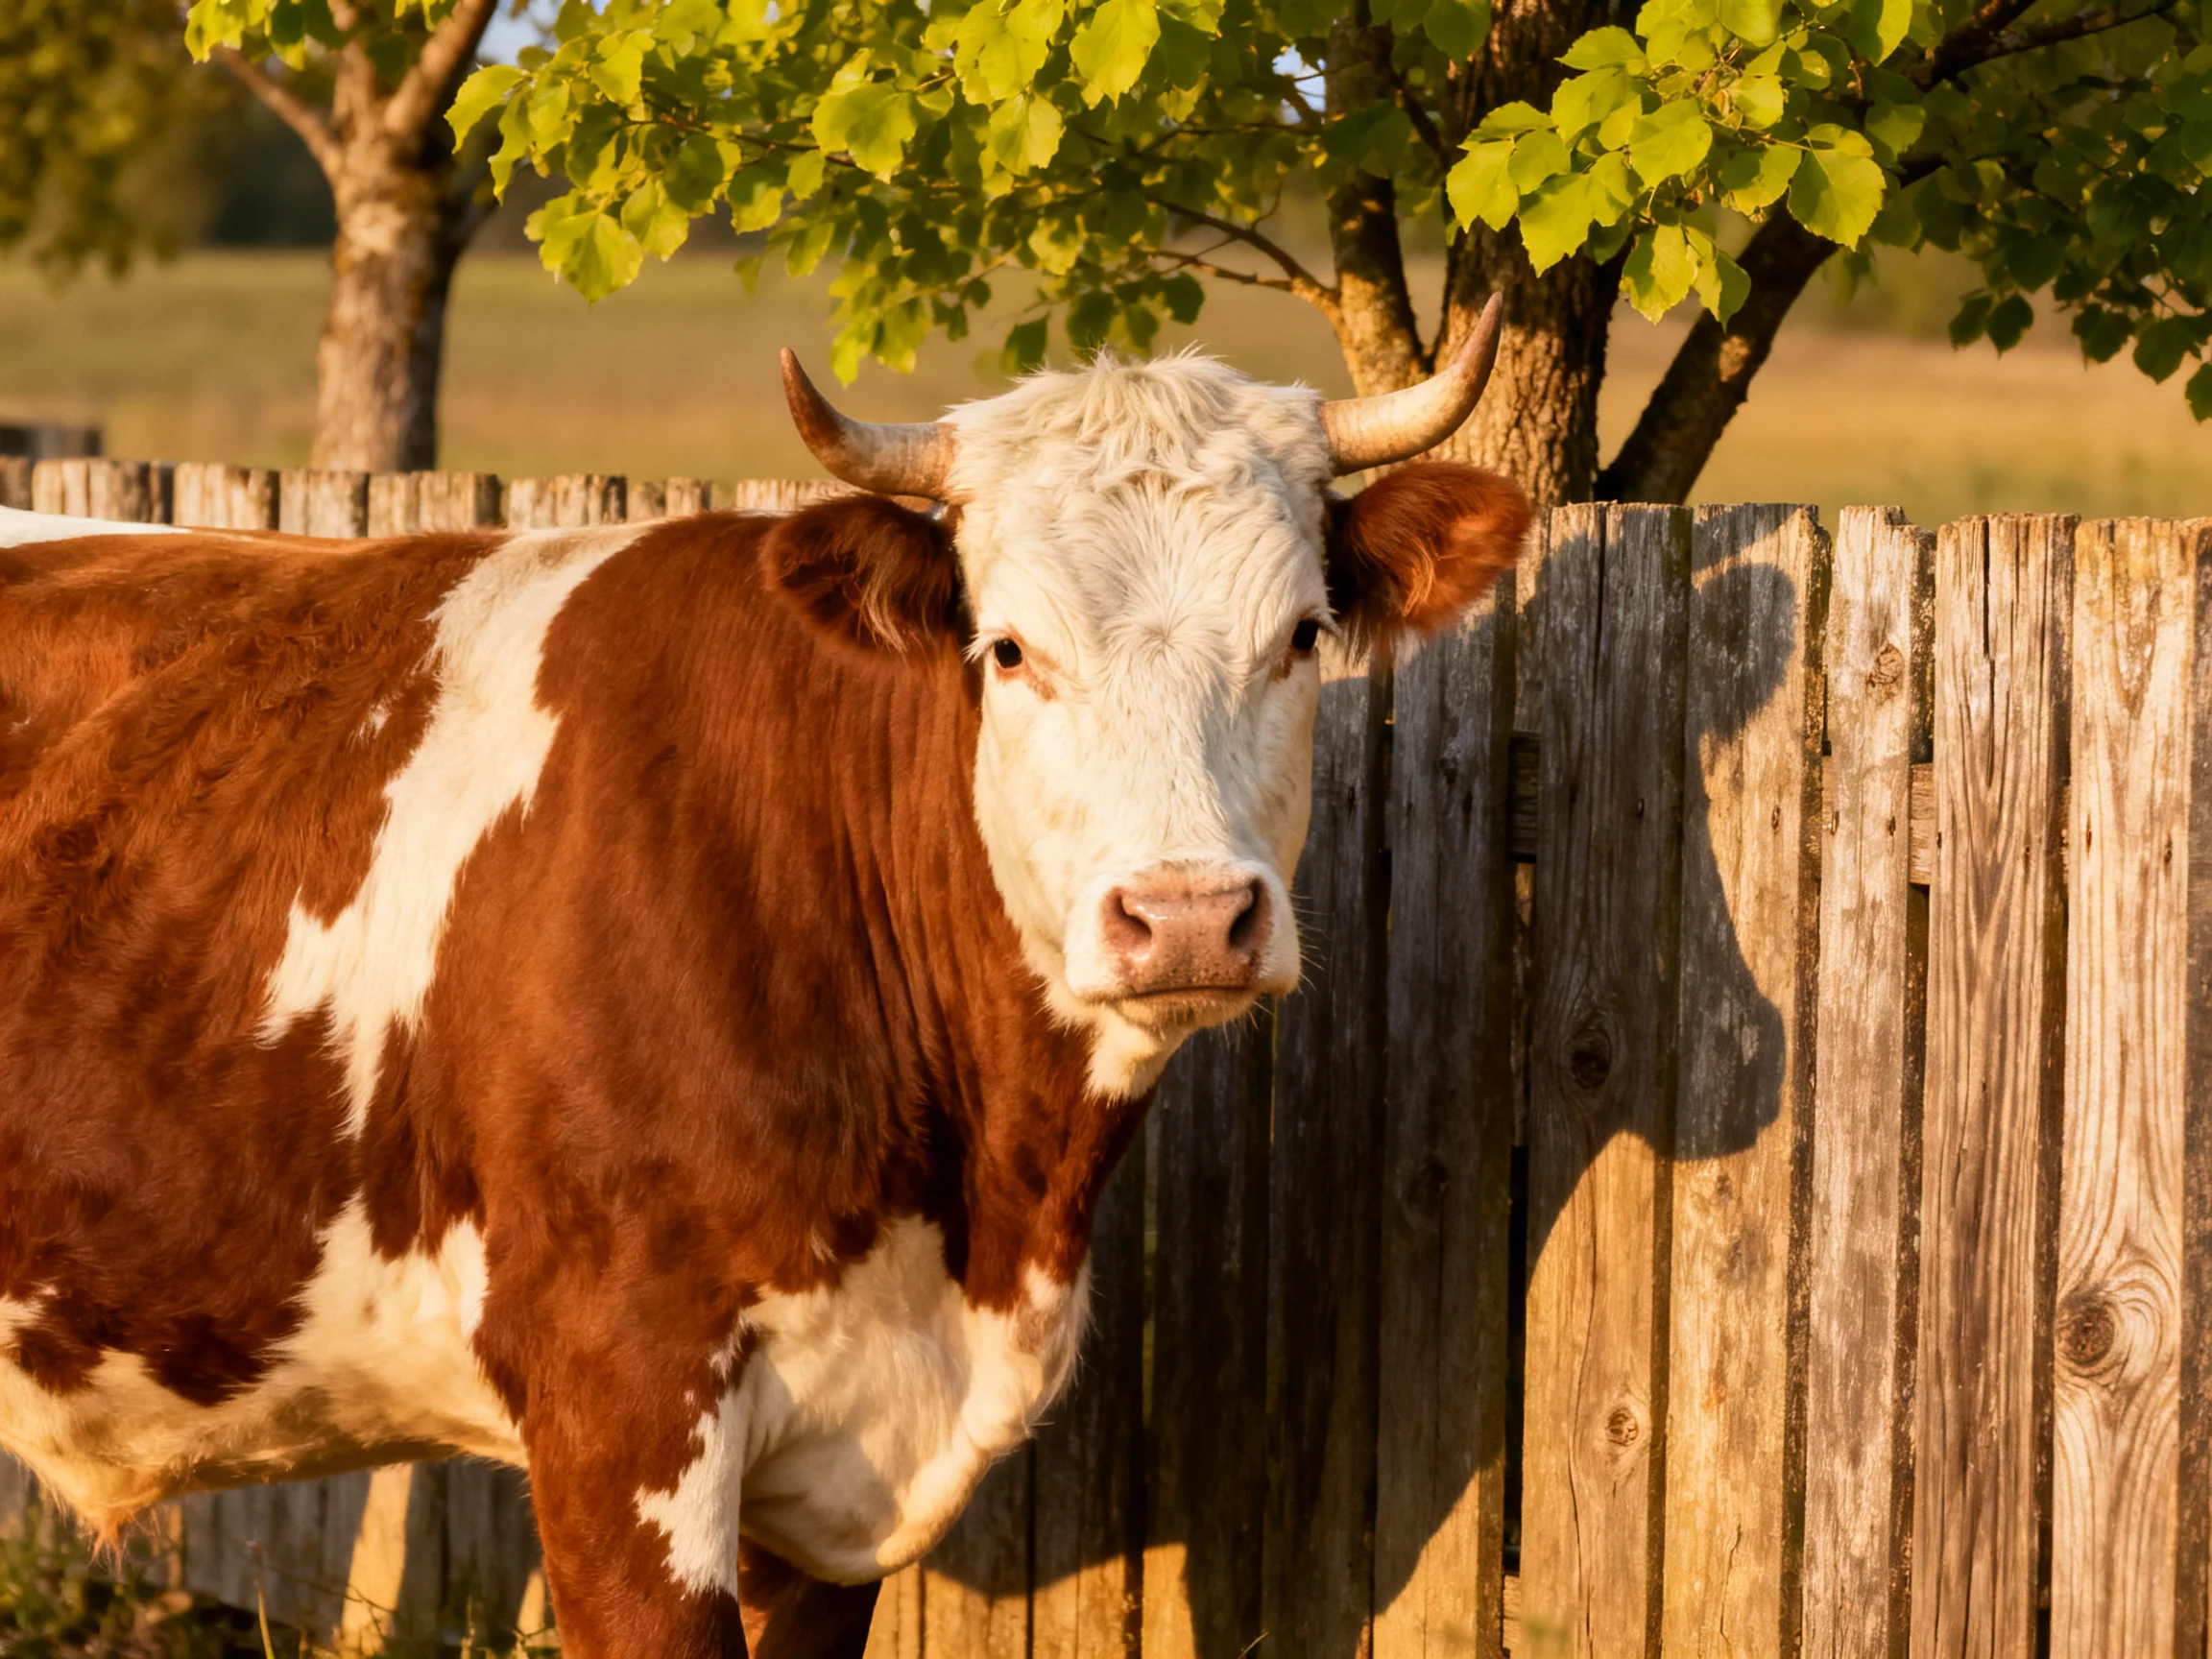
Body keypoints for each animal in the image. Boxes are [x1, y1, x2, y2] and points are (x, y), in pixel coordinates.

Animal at [0, 304, 1527, 1657]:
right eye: (1010, 648)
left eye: (1303, 636)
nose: (1190, 916)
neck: (979, 1217)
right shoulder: (618, 1405)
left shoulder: (844, 1484)